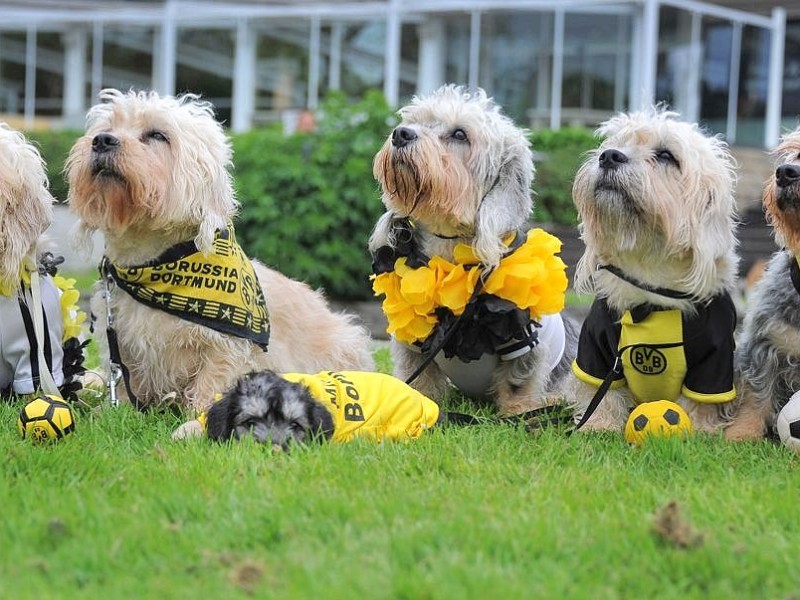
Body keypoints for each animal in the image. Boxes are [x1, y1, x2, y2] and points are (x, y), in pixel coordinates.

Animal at [66, 89, 376, 412]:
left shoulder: (225, 345)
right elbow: (126, 376)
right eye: (109, 126)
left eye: (157, 135)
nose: (102, 140)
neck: (153, 262)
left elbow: (212, 378)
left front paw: (201, 413)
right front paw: (115, 409)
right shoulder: (122, 338)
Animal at [366, 85, 580, 418]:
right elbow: (418, 381)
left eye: (459, 134)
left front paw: (517, 414)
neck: (448, 251)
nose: (400, 134)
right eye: (416, 121)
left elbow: (518, 383)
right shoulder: (411, 341)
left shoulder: (523, 341)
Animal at [564, 108, 740, 434]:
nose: (609, 156)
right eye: (616, 144)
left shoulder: (714, 362)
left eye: (666, 156)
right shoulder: (596, 349)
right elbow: (602, 396)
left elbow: (698, 405)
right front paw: (598, 425)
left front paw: (700, 432)